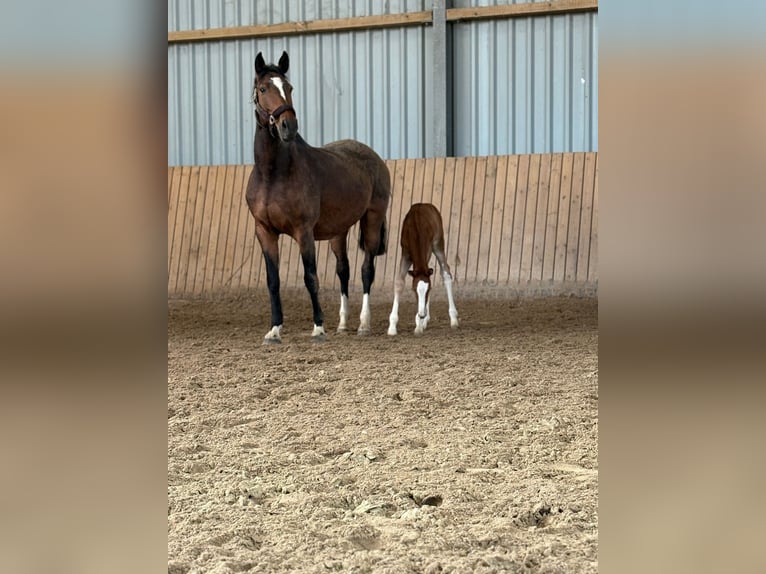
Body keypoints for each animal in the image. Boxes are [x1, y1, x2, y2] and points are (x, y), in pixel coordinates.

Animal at [245, 51, 391, 344]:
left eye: (289, 88)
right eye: (263, 89)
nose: (288, 126)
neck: (273, 174)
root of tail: (373, 157)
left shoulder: (304, 231)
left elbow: (310, 277)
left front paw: (318, 327)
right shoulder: (264, 231)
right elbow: (273, 280)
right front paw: (274, 329)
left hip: (372, 219)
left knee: (367, 270)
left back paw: (363, 324)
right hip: (339, 230)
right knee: (343, 270)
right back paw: (343, 324)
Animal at [387, 203, 459, 336]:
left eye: (428, 289)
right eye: (413, 290)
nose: (421, 314)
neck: (416, 227)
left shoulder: (427, 250)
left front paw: (419, 325)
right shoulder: (405, 253)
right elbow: (399, 282)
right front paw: (392, 327)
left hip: (438, 244)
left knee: (446, 273)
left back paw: (453, 319)